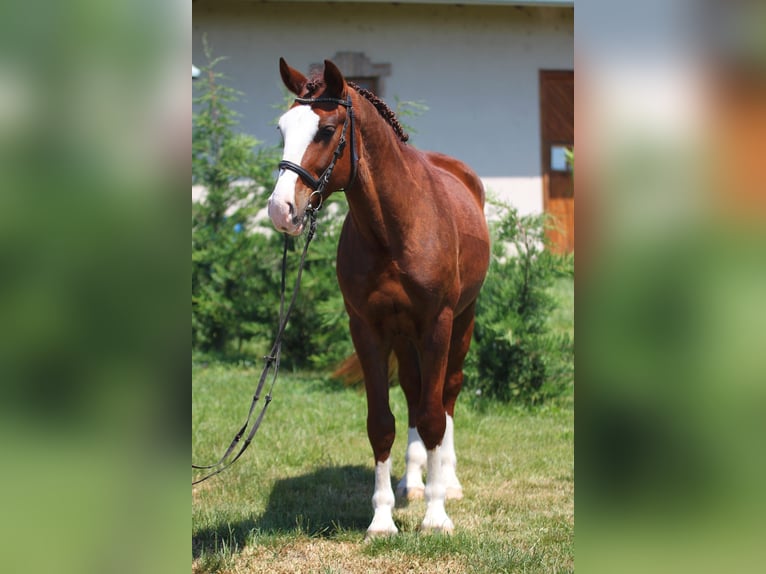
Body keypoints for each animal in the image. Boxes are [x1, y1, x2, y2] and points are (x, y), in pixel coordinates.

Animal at [268, 59, 488, 540]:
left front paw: (437, 517)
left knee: (446, 394)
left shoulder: (437, 325)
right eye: (282, 129)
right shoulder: (367, 328)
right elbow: (382, 424)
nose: (281, 210)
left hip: (462, 323)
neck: (395, 228)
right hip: (404, 338)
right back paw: (413, 483)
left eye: (326, 130)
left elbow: (434, 416)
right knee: (413, 392)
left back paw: (448, 482)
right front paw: (384, 519)